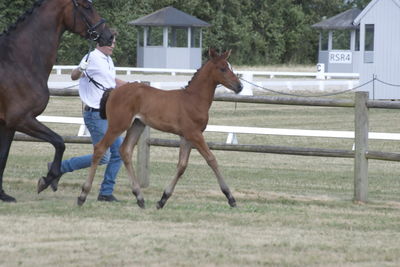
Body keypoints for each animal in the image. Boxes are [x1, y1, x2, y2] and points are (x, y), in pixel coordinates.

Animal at [0, 0, 113, 202]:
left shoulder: (8, 125)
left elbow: (3, 157)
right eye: (86, 6)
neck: (18, 62)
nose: (109, 35)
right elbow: (60, 142)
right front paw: (49, 178)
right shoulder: (21, 119)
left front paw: (3, 195)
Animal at [76, 49, 242, 210]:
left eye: (231, 68)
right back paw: (82, 195)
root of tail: (113, 91)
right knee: (100, 148)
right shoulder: (194, 134)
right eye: (222, 68)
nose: (239, 86)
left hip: (137, 125)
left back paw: (139, 197)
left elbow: (182, 165)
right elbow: (211, 159)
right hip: (118, 125)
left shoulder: (186, 137)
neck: (193, 99)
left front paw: (162, 199)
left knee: (125, 150)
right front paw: (230, 198)